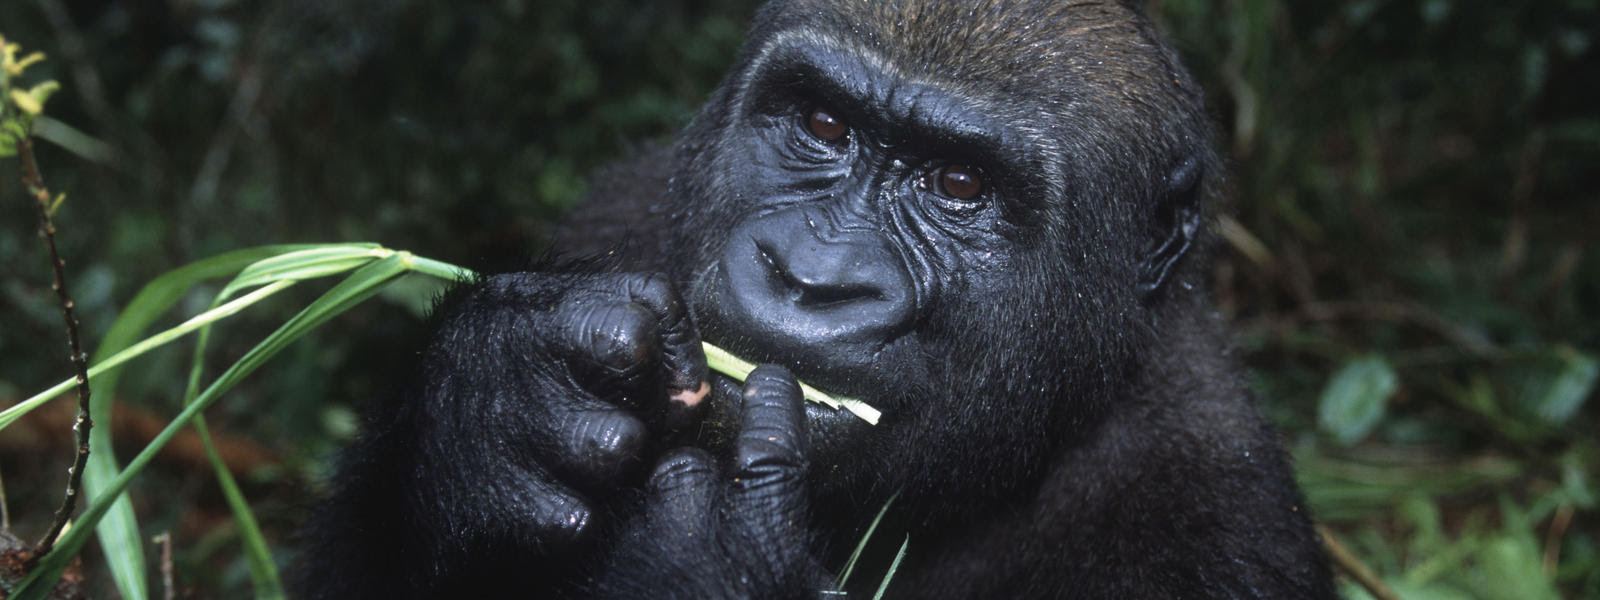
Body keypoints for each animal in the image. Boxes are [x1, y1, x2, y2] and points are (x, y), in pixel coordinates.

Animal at [294, 2, 1331, 598]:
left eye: (960, 184)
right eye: (825, 124)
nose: (811, 278)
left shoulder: (1211, 519)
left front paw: (711, 567)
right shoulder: (624, 210)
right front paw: (488, 401)